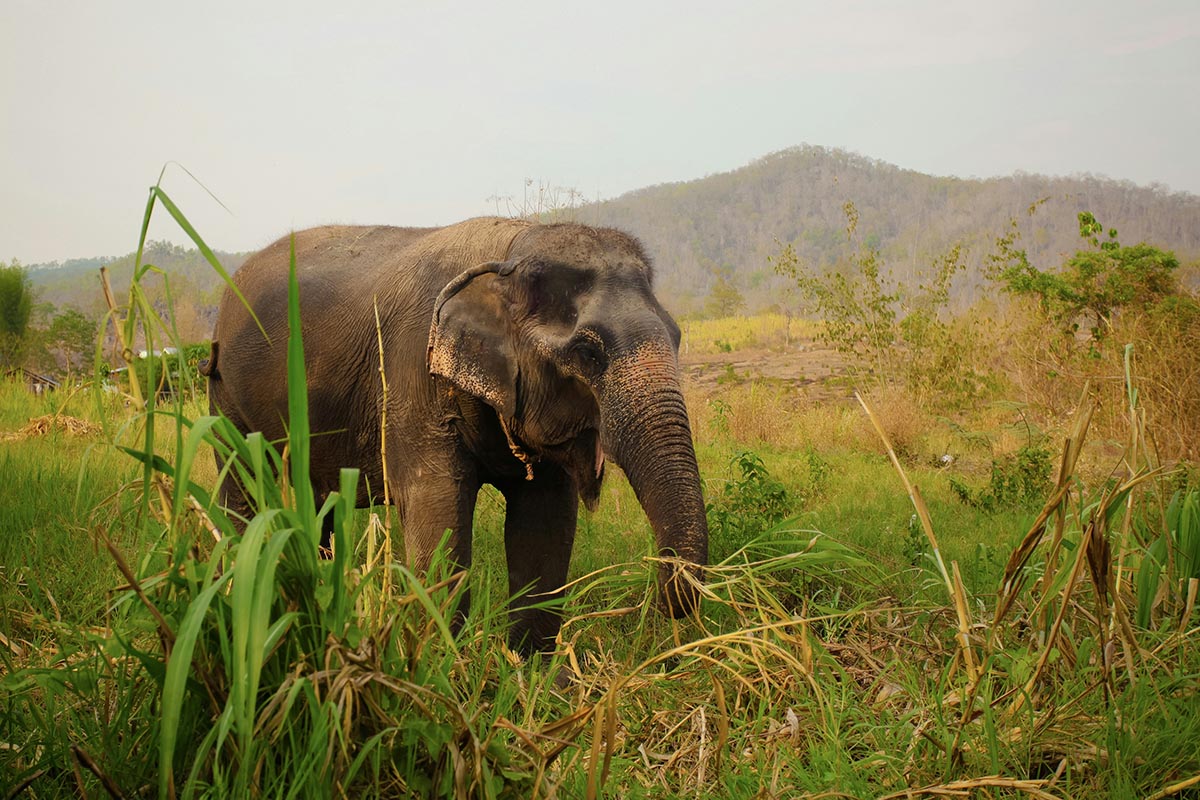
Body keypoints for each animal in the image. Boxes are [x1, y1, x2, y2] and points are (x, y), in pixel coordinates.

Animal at [202, 217, 708, 653]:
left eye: (678, 336)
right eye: (587, 352)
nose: (660, 603)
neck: (512, 252)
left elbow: (544, 526)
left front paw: (528, 678)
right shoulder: (412, 374)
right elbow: (438, 517)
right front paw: (443, 672)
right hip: (224, 393)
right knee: (241, 488)